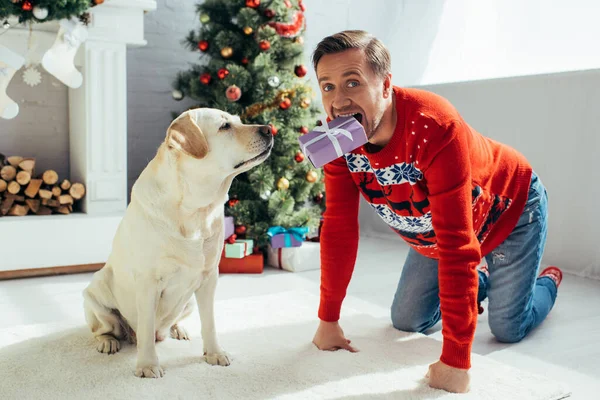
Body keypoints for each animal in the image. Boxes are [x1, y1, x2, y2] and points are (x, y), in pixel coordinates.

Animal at [82, 107, 274, 378]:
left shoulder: (209, 278)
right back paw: (108, 342)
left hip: (189, 301)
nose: (270, 129)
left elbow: (210, 322)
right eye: (225, 126)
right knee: (105, 328)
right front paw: (147, 365)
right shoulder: (148, 282)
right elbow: (146, 326)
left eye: (238, 121)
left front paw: (214, 353)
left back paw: (178, 329)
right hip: (95, 290)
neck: (195, 210)